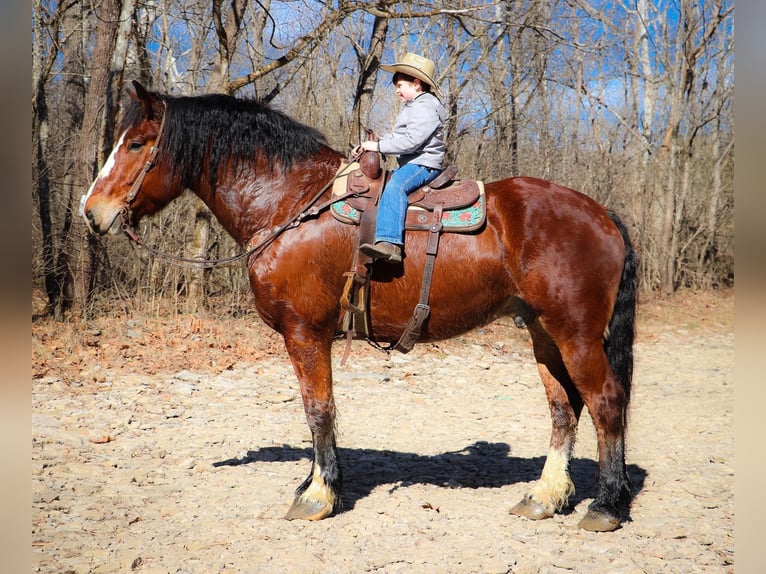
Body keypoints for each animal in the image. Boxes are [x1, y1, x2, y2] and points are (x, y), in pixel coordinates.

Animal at [81, 82, 640, 536]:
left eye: (136, 143)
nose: (91, 212)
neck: (291, 204)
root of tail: (603, 215)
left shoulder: (305, 331)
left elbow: (318, 410)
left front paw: (318, 495)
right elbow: (317, 412)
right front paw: (315, 481)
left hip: (576, 334)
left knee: (606, 402)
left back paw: (606, 506)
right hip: (543, 333)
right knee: (564, 409)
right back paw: (545, 497)